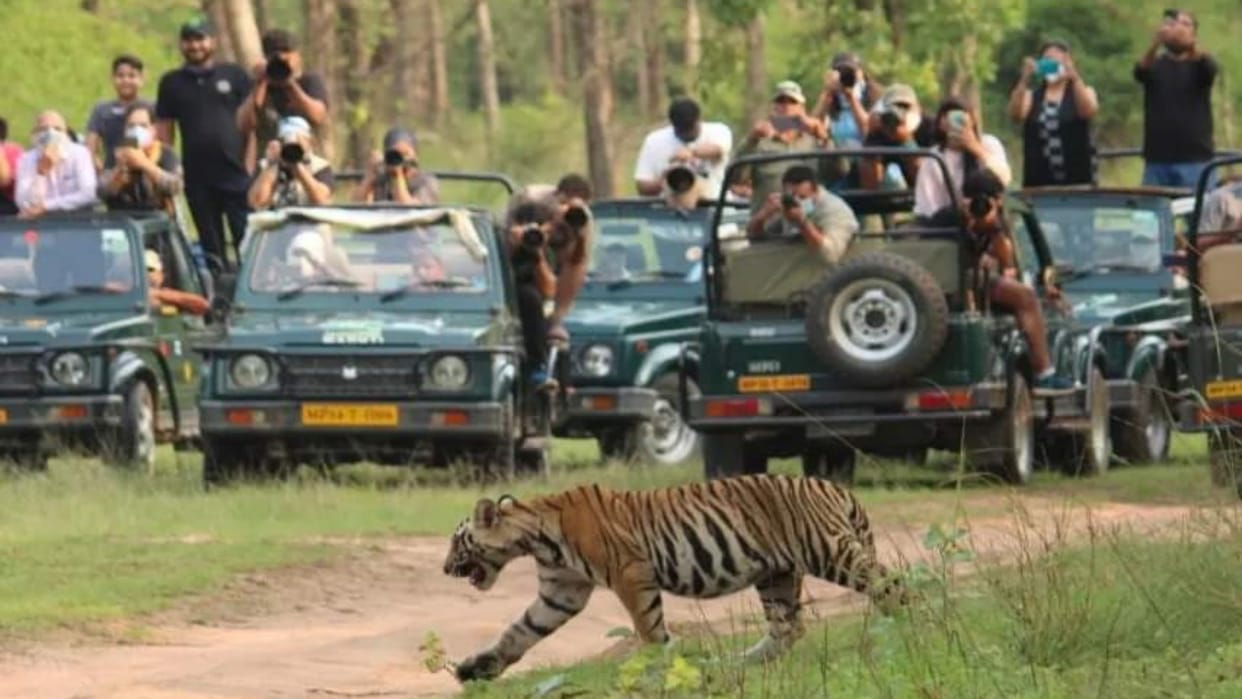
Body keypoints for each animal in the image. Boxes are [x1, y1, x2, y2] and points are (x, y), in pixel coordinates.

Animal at [441, 473, 908, 682]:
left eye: (457, 541)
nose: (445, 568)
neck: (535, 537)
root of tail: (836, 487)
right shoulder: (561, 592)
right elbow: (518, 632)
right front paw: (475, 669)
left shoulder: (631, 574)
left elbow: (649, 630)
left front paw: (659, 670)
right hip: (777, 575)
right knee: (787, 630)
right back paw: (728, 664)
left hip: (830, 552)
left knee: (894, 585)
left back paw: (907, 628)